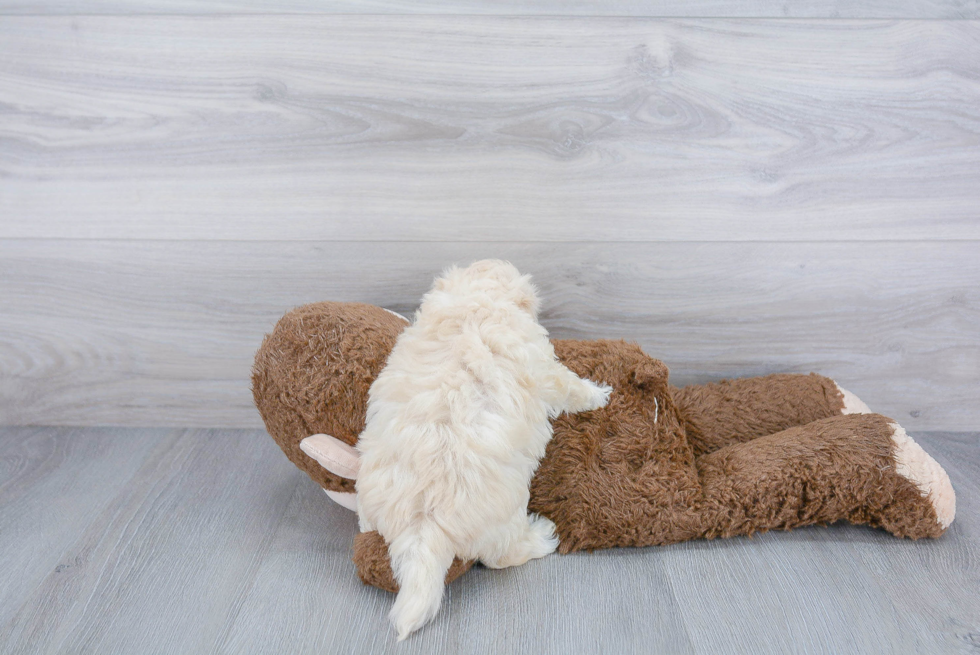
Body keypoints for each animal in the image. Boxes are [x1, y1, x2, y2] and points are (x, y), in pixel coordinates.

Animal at [356, 258, 608, 640]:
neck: (471, 304)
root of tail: (423, 526)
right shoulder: (543, 366)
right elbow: (569, 386)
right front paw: (599, 394)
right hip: (504, 519)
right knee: (502, 556)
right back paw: (541, 537)